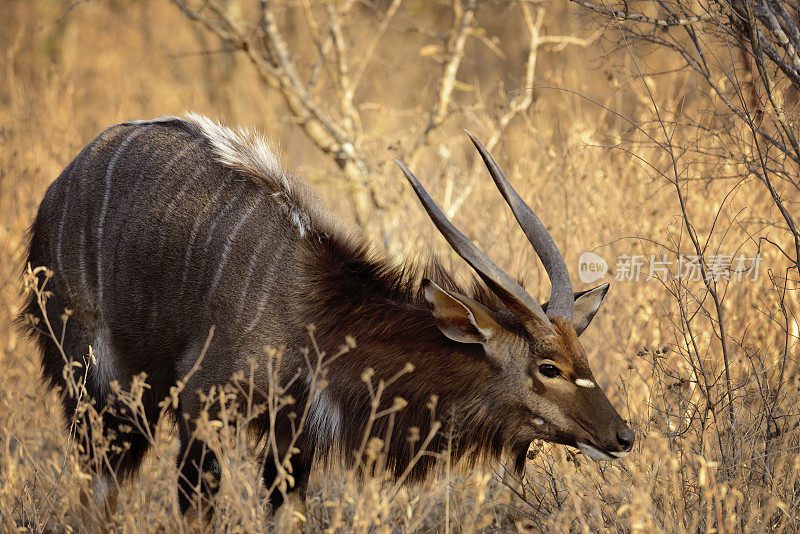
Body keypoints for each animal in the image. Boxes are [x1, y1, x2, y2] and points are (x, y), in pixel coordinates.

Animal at [18, 115, 636, 528]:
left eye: (581, 357)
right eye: (548, 367)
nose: (622, 436)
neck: (316, 313)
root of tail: (58, 187)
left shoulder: (293, 444)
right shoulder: (203, 413)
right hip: (98, 390)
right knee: (95, 488)